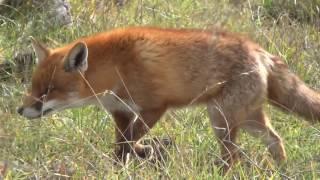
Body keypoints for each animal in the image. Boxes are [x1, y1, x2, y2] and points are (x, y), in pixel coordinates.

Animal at [16, 26, 320, 170]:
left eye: (48, 91)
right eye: (33, 87)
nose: (21, 110)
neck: (116, 67)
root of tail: (258, 50)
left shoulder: (154, 107)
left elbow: (130, 142)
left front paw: (140, 154)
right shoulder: (121, 112)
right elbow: (122, 145)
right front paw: (123, 164)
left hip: (222, 121)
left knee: (233, 157)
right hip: (246, 119)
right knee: (275, 139)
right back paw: (281, 169)